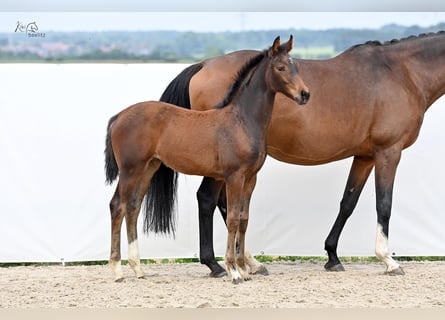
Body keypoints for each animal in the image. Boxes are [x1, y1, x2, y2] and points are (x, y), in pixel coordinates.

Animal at [103, 36, 308, 284]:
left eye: (296, 66)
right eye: (280, 68)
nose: (304, 94)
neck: (241, 121)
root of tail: (118, 117)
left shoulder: (250, 179)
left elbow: (244, 219)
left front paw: (244, 268)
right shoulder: (234, 176)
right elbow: (232, 219)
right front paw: (233, 271)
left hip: (148, 167)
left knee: (133, 206)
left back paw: (138, 268)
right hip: (130, 169)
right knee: (117, 206)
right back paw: (117, 270)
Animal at [157, 31, 445, 276]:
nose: (305, 94)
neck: (402, 73)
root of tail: (203, 65)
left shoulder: (365, 156)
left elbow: (347, 202)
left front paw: (332, 256)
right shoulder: (388, 152)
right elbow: (384, 204)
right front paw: (388, 260)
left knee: (225, 205)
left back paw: (246, 263)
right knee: (209, 200)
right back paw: (220, 265)